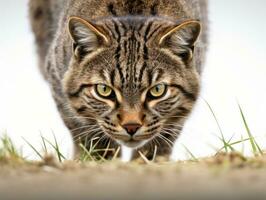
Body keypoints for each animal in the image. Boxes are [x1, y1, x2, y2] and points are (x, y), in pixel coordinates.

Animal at [29, 0, 208, 159]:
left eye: (157, 90)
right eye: (104, 90)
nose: (131, 126)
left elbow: (162, 137)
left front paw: (148, 161)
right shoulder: (58, 84)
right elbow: (91, 135)